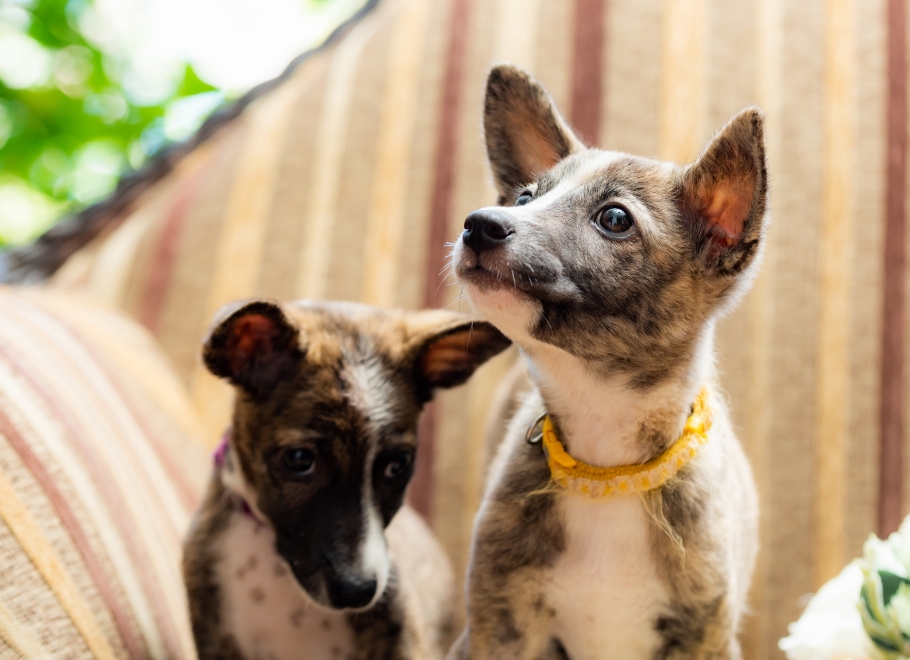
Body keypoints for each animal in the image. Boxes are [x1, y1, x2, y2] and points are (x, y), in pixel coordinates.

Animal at [448, 65, 764, 660]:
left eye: (614, 218)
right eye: (524, 196)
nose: (478, 224)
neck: (607, 463)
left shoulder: (705, 636)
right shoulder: (497, 632)